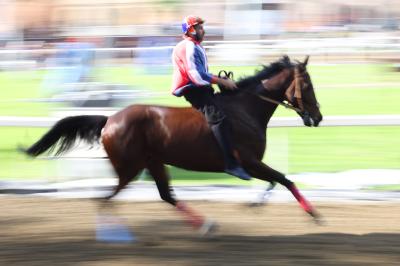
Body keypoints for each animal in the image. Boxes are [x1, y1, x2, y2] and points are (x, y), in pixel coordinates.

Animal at [22, 55, 322, 232]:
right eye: (307, 85)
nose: (318, 117)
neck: (245, 109)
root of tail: (109, 119)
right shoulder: (248, 162)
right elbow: (284, 179)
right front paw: (314, 213)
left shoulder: (253, 164)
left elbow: (277, 180)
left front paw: (257, 204)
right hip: (129, 168)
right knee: (106, 199)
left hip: (153, 162)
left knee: (165, 195)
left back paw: (206, 224)